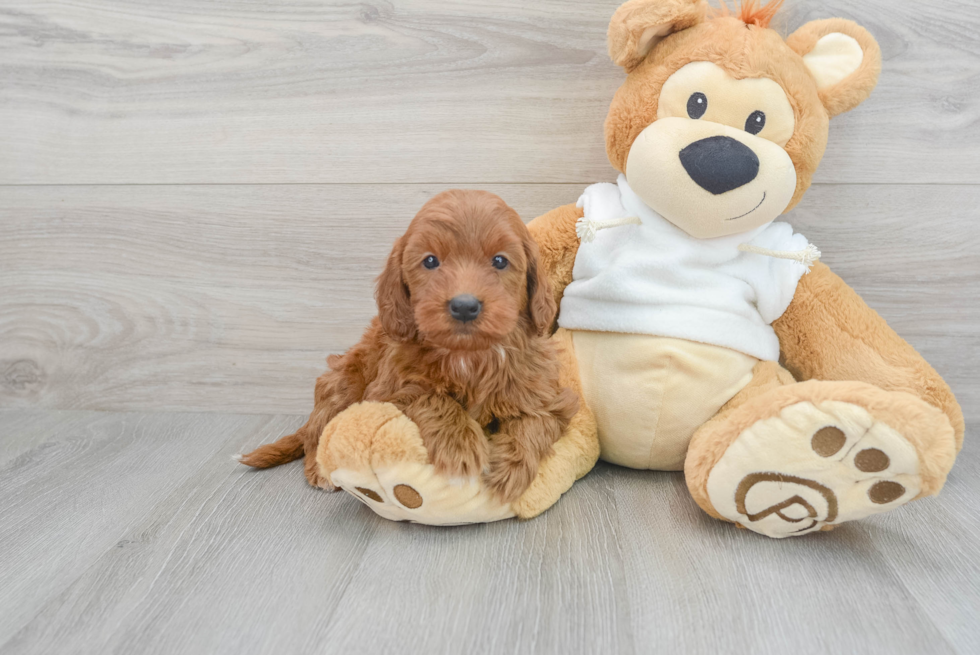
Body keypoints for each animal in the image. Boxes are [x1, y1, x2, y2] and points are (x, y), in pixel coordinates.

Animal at [239, 190, 576, 502]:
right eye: (430, 261)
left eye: (500, 261)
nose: (464, 306)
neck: (468, 355)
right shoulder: (387, 391)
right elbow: (432, 398)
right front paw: (461, 447)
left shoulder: (543, 394)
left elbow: (536, 423)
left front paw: (511, 470)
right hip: (343, 382)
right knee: (318, 432)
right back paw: (319, 471)